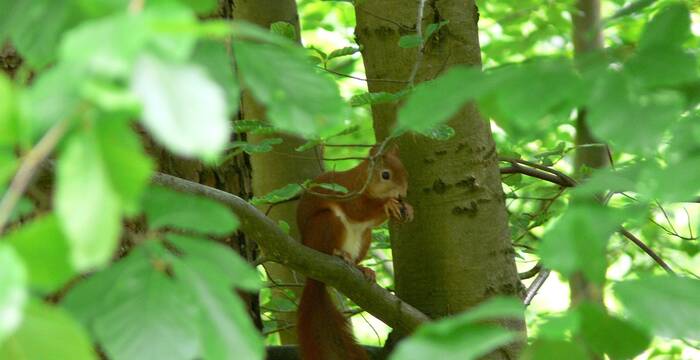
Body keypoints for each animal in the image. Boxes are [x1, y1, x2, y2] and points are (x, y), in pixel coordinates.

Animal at [294, 144, 410, 360]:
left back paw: (363, 269)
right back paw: (338, 254)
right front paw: (388, 203)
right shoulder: (348, 193)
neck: (363, 182)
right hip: (326, 223)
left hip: (365, 237)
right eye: (385, 175)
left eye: (406, 172)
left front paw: (408, 209)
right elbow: (358, 211)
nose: (402, 195)